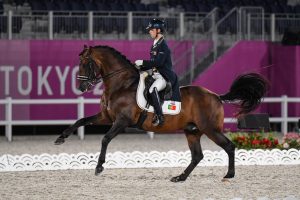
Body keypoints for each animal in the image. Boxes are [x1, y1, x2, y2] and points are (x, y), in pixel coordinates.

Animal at [54, 45, 270, 183]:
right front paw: (60, 138)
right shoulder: (107, 117)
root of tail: (216, 95)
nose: (82, 87)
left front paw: (99, 167)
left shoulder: (122, 121)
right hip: (192, 131)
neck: (121, 84)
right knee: (197, 156)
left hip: (211, 129)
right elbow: (81, 120)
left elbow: (105, 139)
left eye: (86, 63)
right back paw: (180, 177)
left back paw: (229, 175)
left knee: (229, 147)